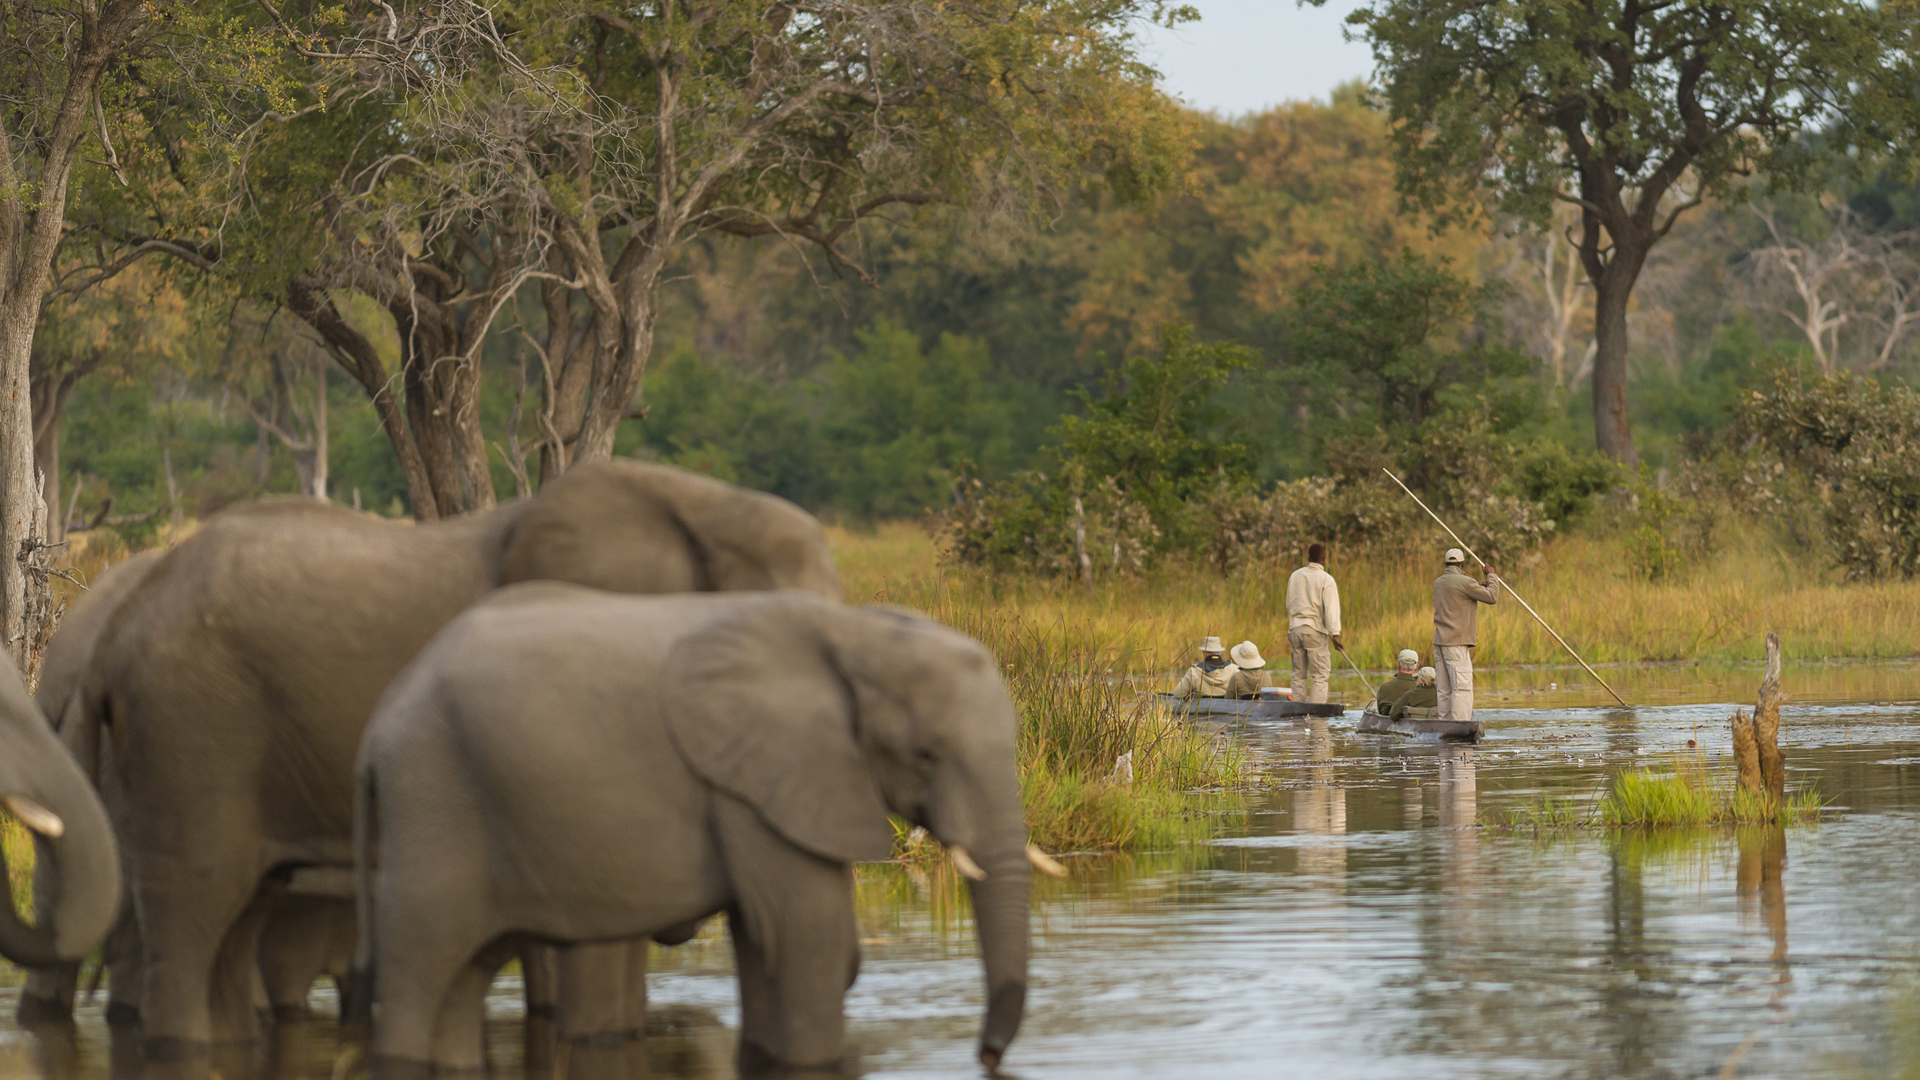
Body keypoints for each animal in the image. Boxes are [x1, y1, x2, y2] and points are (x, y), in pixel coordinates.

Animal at [356, 586, 1052, 1076]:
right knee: (421, 962)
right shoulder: (753, 780)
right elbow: (805, 933)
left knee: (462, 978)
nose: (987, 1057)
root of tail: (379, 723)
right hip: (433, 796)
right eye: (927, 755)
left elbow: (762, 937)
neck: (855, 631)